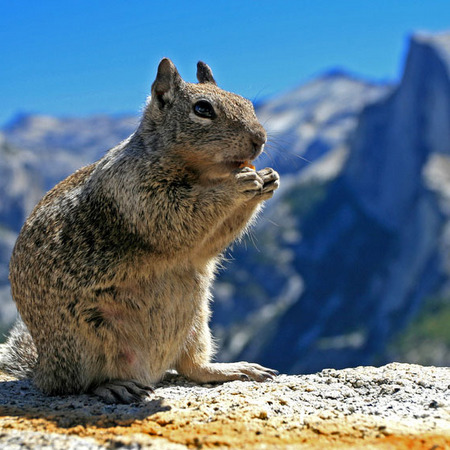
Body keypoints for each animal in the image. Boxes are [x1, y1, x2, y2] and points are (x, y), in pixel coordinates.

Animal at [0, 59, 280, 404]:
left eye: (247, 102)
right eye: (202, 109)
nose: (260, 139)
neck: (199, 173)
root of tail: (43, 369)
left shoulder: (198, 246)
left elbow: (208, 242)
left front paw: (269, 178)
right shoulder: (135, 192)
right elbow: (178, 217)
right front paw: (237, 184)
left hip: (197, 325)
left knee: (192, 367)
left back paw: (231, 368)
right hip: (85, 342)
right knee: (79, 384)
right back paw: (114, 386)